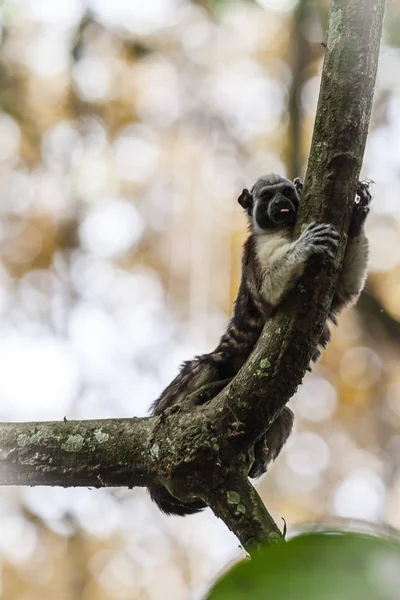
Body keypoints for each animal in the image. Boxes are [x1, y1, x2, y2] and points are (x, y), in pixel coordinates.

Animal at [148, 173, 370, 516]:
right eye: (267, 197)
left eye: (287, 192)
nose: (281, 204)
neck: (283, 230)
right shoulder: (254, 252)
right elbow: (266, 295)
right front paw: (305, 245)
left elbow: (347, 291)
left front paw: (358, 215)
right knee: (205, 368)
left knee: (285, 415)